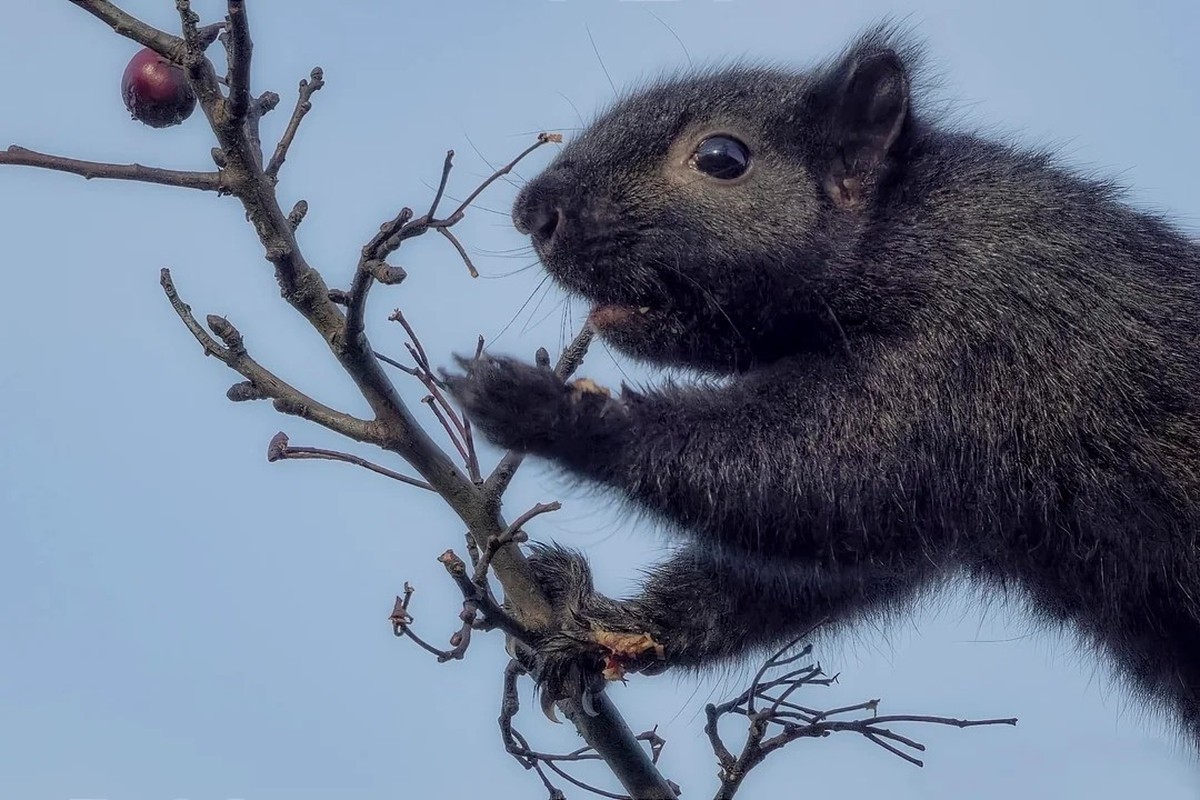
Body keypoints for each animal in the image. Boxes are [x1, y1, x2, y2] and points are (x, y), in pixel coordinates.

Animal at [443, 23, 1200, 745]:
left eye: (722, 157)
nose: (533, 213)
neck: (908, 234)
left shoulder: (976, 346)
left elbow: (822, 477)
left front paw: (552, 411)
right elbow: (801, 572)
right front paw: (596, 623)